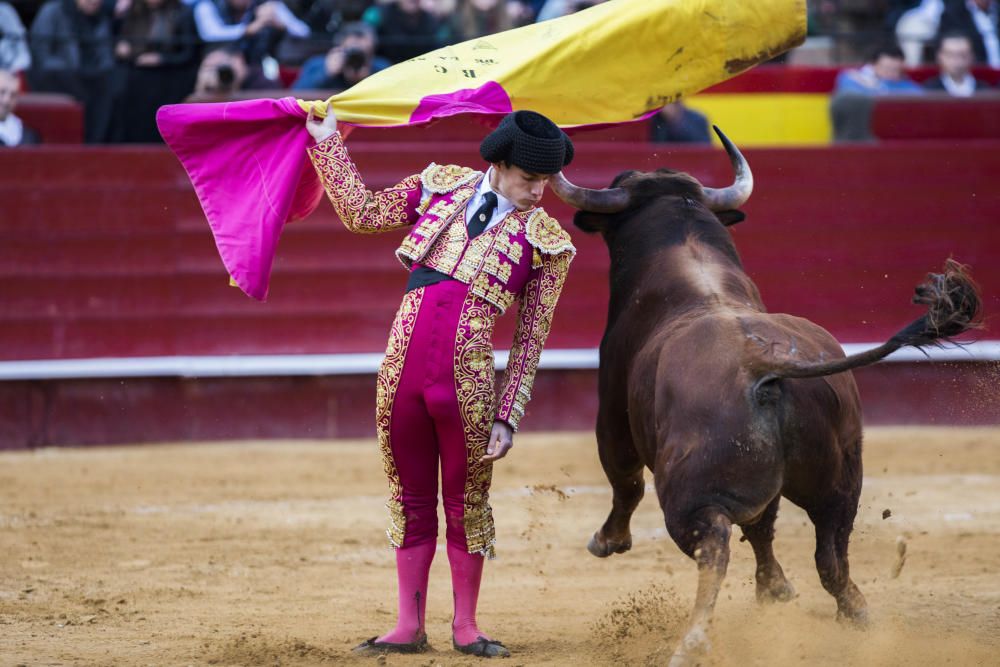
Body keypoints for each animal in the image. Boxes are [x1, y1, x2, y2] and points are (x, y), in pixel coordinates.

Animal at [552, 128, 980, 664]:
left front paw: (607, 540)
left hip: (690, 495)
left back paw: (694, 641)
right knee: (829, 553)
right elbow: (763, 525)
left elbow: (624, 480)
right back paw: (856, 615)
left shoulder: (611, 410)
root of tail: (766, 365)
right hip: (842, 480)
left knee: (713, 549)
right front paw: (775, 589)